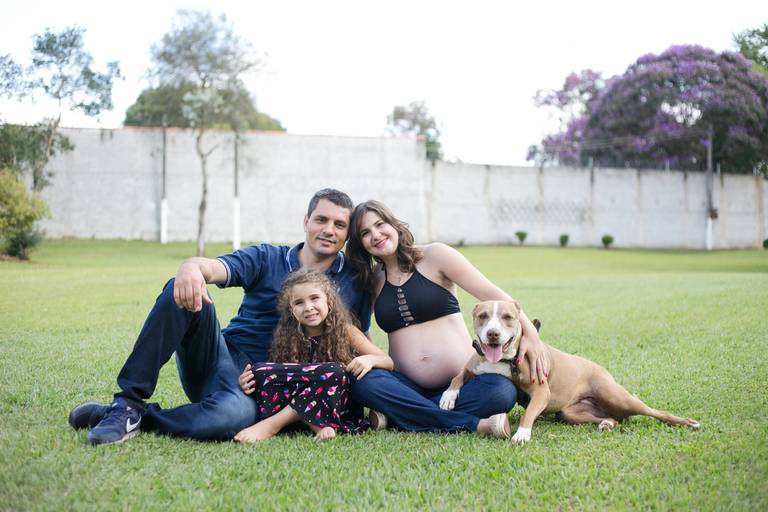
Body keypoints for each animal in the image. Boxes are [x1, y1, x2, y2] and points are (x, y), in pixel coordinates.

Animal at [439, 300, 700, 444]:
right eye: (483, 316)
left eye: (508, 317)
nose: (493, 334)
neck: (506, 360)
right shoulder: (473, 366)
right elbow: (458, 375)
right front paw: (448, 397)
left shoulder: (541, 393)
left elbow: (528, 413)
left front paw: (522, 434)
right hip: (571, 413)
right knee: (612, 418)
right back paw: (607, 424)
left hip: (619, 397)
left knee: (656, 412)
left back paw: (689, 423)